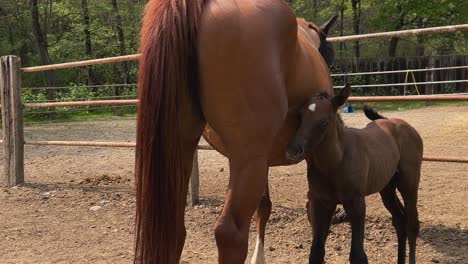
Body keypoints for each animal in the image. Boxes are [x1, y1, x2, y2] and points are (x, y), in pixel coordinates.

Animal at [135, 1, 336, 262]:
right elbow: (314, 209)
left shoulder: (266, 159)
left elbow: (265, 206)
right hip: (248, 162)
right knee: (230, 235)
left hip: (181, 149)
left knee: (173, 231)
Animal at [286, 85, 424, 264]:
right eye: (300, 116)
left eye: (324, 122)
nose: (292, 151)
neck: (336, 162)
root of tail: (403, 124)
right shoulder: (321, 202)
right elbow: (316, 252)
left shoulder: (356, 202)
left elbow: (358, 255)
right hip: (387, 187)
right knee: (400, 221)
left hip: (409, 183)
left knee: (412, 225)